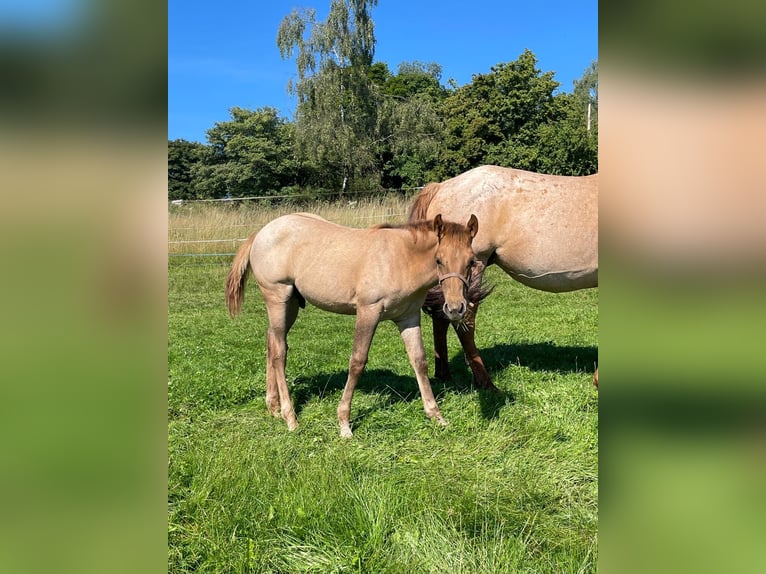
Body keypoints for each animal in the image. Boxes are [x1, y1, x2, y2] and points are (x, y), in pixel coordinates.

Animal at [226, 212, 479, 437]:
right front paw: (344, 423)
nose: (455, 308)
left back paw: (273, 407)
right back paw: (290, 418)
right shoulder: (368, 311)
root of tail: (261, 233)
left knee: (272, 341)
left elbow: (419, 360)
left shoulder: (408, 317)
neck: (401, 259)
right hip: (277, 298)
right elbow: (357, 361)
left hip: (292, 305)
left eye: (471, 261)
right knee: (279, 352)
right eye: (439, 260)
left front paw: (436, 415)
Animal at [409, 165, 598, 392]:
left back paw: (444, 374)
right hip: (474, 267)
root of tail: (441, 187)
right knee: (465, 321)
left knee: (442, 316)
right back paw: (486, 382)